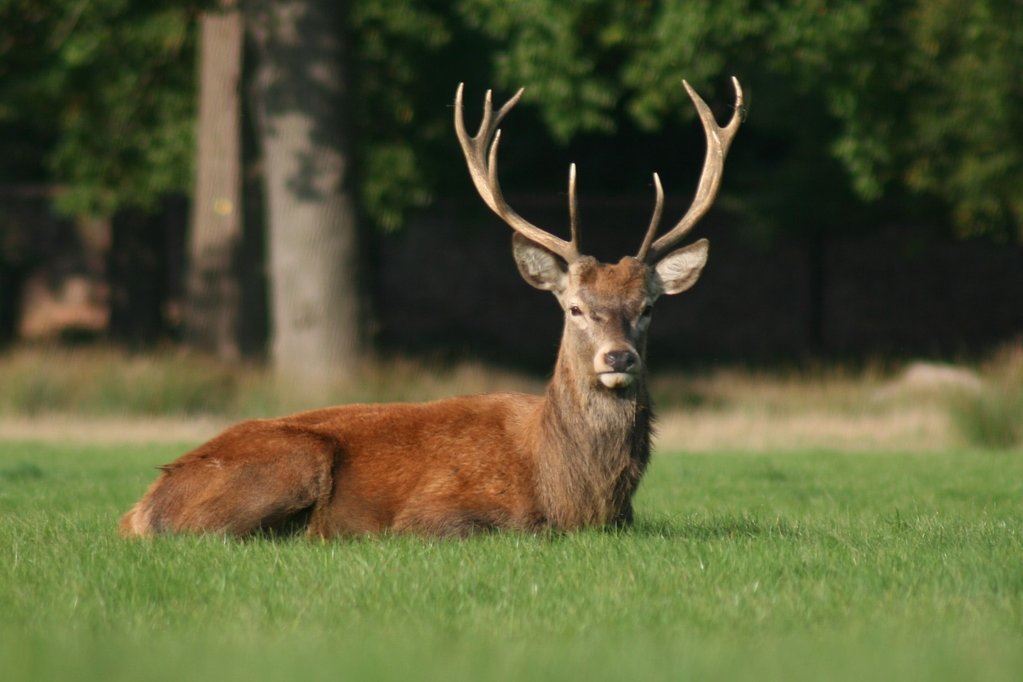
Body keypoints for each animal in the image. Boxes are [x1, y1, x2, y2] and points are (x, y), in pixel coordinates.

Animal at [120, 77, 743, 538]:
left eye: (648, 307)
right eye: (573, 307)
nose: (618, 358)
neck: (574, 494)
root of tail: (139, 509)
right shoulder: (435, 512)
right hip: (291, 460)